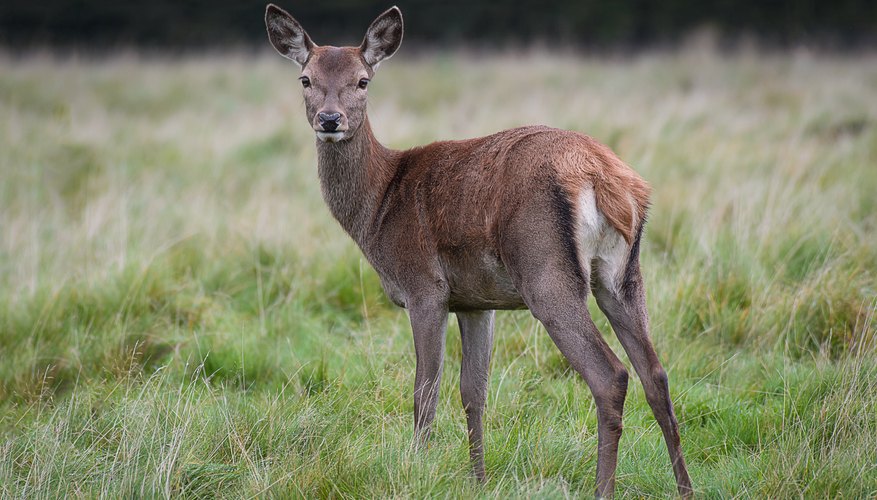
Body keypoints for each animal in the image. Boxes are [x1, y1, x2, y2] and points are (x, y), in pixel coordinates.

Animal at [264, 3, 696, 496]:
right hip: (623, 275)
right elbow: (474, 392)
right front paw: (479, 479)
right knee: (656, 374)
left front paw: (418, 469)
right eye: (306, 79)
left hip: (546, 271)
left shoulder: (424, 287)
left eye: (362, 80)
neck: (379, 207)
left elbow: (425, 390)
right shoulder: (476, 300)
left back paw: (603, 487)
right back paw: (685, 488)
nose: (330, 119)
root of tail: (604, 177)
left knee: (611, 375)